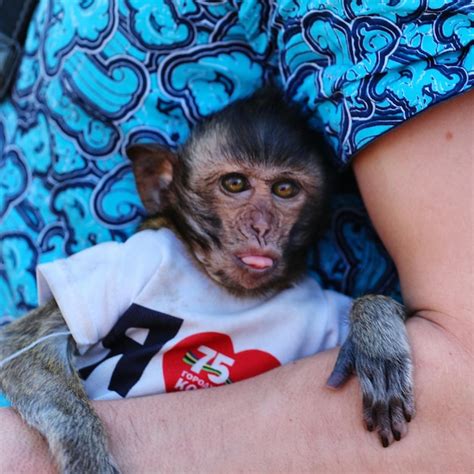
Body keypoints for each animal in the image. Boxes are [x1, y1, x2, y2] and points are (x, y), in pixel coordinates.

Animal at [0, 90, 414, 472]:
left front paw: (373, 330)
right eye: (234, 184)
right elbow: (18, 345)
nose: (261, 226)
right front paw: (85, 451)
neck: (218, 284)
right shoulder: (132, 260)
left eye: (284, 190)